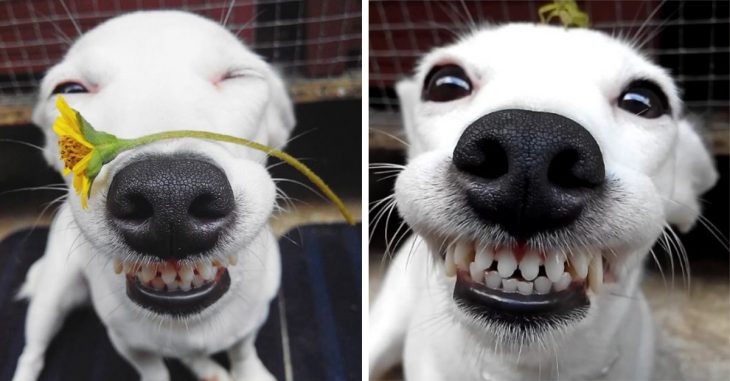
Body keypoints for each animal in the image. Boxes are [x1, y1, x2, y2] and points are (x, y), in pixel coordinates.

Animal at [12, 9, 292, 380]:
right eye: (69, 89)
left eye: (238, 76)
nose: (169, 197)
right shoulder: (128, 343)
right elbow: (153, 369)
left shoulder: (252, 318)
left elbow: (243, 348)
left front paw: (248, 371)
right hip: (52, 296)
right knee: (31, 352)